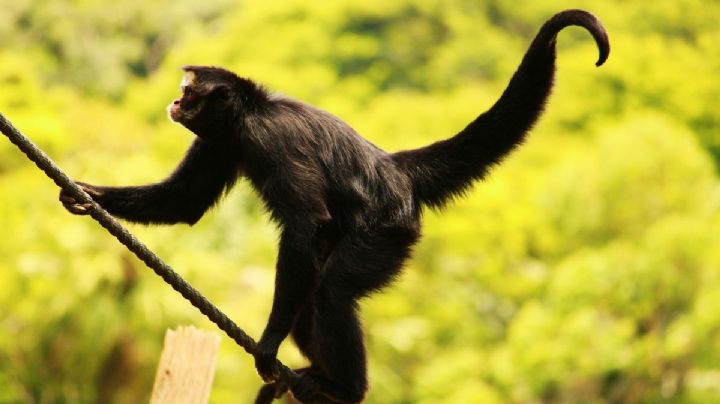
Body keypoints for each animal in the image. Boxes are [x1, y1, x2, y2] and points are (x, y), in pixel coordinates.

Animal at [60, 9, 609, 403]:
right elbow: (185, 202)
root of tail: (393, 169)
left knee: (329, 292)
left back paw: (344, 389)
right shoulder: (224, 141)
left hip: (387, 233)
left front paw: (268, 344)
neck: (252, 113)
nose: (176, 102)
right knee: (313, 295)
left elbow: (304, 223)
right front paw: (84, 195)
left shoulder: (269, 139)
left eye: (189, 91)